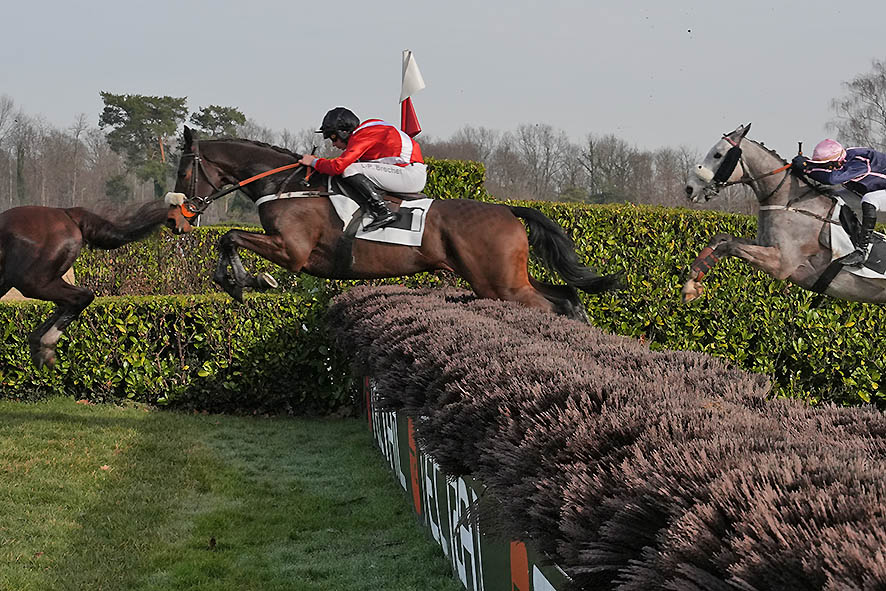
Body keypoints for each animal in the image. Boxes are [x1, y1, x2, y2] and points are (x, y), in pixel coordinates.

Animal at [0, 205, 172, 370]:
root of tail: (65, 213)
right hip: (46, 279)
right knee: (68, 303)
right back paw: (38, 343)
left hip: (33, 281)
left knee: (81, 297)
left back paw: (45, 345)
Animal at [165, 128, 616, 322]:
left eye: (184, 171)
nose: (174, 220)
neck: (287, 184)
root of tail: (507, 210)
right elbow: (229, 239)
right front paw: (240, 280)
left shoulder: (292, 251)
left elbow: (229, 236)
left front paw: (245, 280)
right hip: (506, 278)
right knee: (566, 297)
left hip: (499, 284)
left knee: (553, 304)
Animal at [680, 123, 886, 302]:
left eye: (717, 154)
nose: (690, 188)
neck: (788, 203)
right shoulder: (764, 244)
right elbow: (722, 238)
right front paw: (692, 279)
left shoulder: (782, 263)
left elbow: (729, 247)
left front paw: (692, 285)